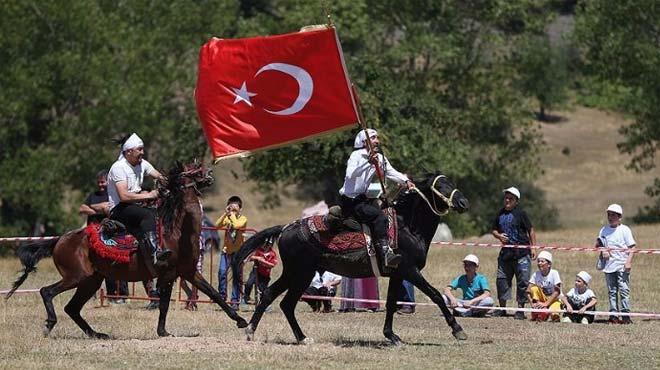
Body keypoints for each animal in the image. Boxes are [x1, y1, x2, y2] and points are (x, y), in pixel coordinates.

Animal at [5, 161, 248, 338]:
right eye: (191, 169)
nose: (209, 172)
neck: (177, 232)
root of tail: (59, 240)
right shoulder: (168, 274)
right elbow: (164, 304)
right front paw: (162, 331)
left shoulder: (189, 272)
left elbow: (214, 294)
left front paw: (241, 321)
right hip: (76, 276)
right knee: (47, 292)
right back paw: (50, 324)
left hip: (90, 281)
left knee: (72, 308)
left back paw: (97, 334)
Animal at [232, 173, 470, 344]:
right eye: (441, 186)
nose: (463, 202)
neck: (407, 227)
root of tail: (286, 228)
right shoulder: (410, 271)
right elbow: (436, 295)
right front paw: (458, 330)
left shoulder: (397, 274)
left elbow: (391, 303)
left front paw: (391, 335)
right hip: (301, 274)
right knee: (284, 302)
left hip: (295, 273)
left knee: (274, 297)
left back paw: (272, 333)